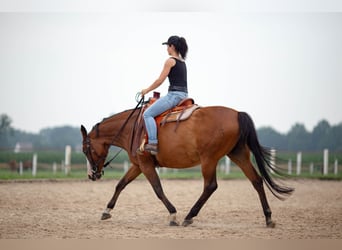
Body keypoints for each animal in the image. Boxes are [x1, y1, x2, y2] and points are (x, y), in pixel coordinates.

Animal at [81, 102, 294, 228]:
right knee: (256, 180)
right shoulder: (138, 165)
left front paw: (173, 215)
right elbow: (121, 184)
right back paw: (268, 217)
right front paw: (106, 211)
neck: (133, 127)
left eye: (85, 149)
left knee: (210, 186)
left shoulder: (146, 165)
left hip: (209, 159)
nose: (92, 175)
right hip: (238, 154)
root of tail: (236, 114)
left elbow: (158, 189)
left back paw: (189, 216)